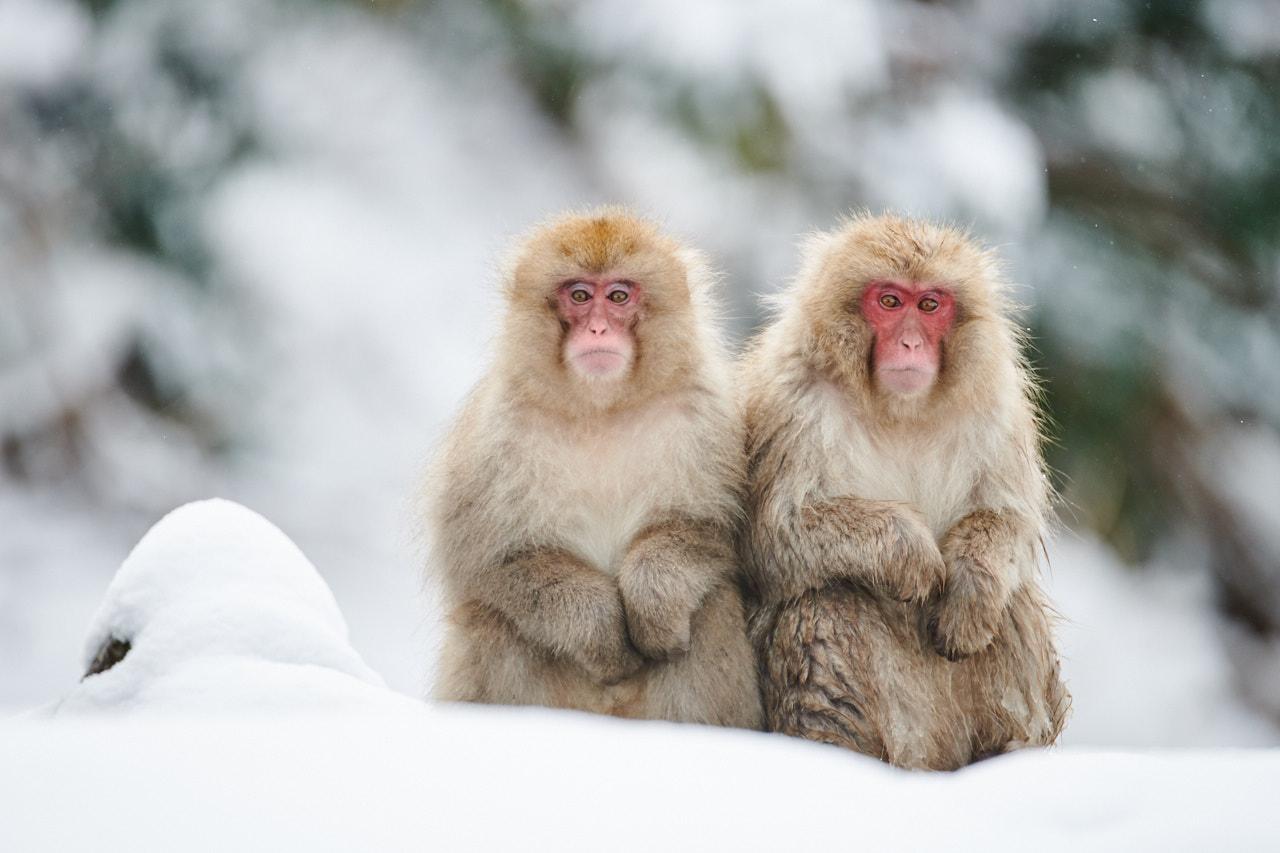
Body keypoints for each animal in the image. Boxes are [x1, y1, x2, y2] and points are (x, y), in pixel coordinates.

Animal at [424, 206, 757, 722]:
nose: (598, 329)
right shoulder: (498, 436)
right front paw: (598, 630)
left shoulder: (705, 416)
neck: (600, 411)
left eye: (618, 296)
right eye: (579, 295)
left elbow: (707, 530)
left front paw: (654, 604)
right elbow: (494, 562)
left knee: (713, 605)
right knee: (491, 618)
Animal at [742, 213, 1070, 768]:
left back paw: (1007, 748)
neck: (901, 411)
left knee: (1010, 604)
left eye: (931, 305)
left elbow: (1010, 522)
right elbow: (775, 536)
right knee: (824, 599)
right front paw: (911, 554)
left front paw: (969, 591)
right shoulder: (793, 403)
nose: (912, 344)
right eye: (890, 302)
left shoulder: (996, 410)